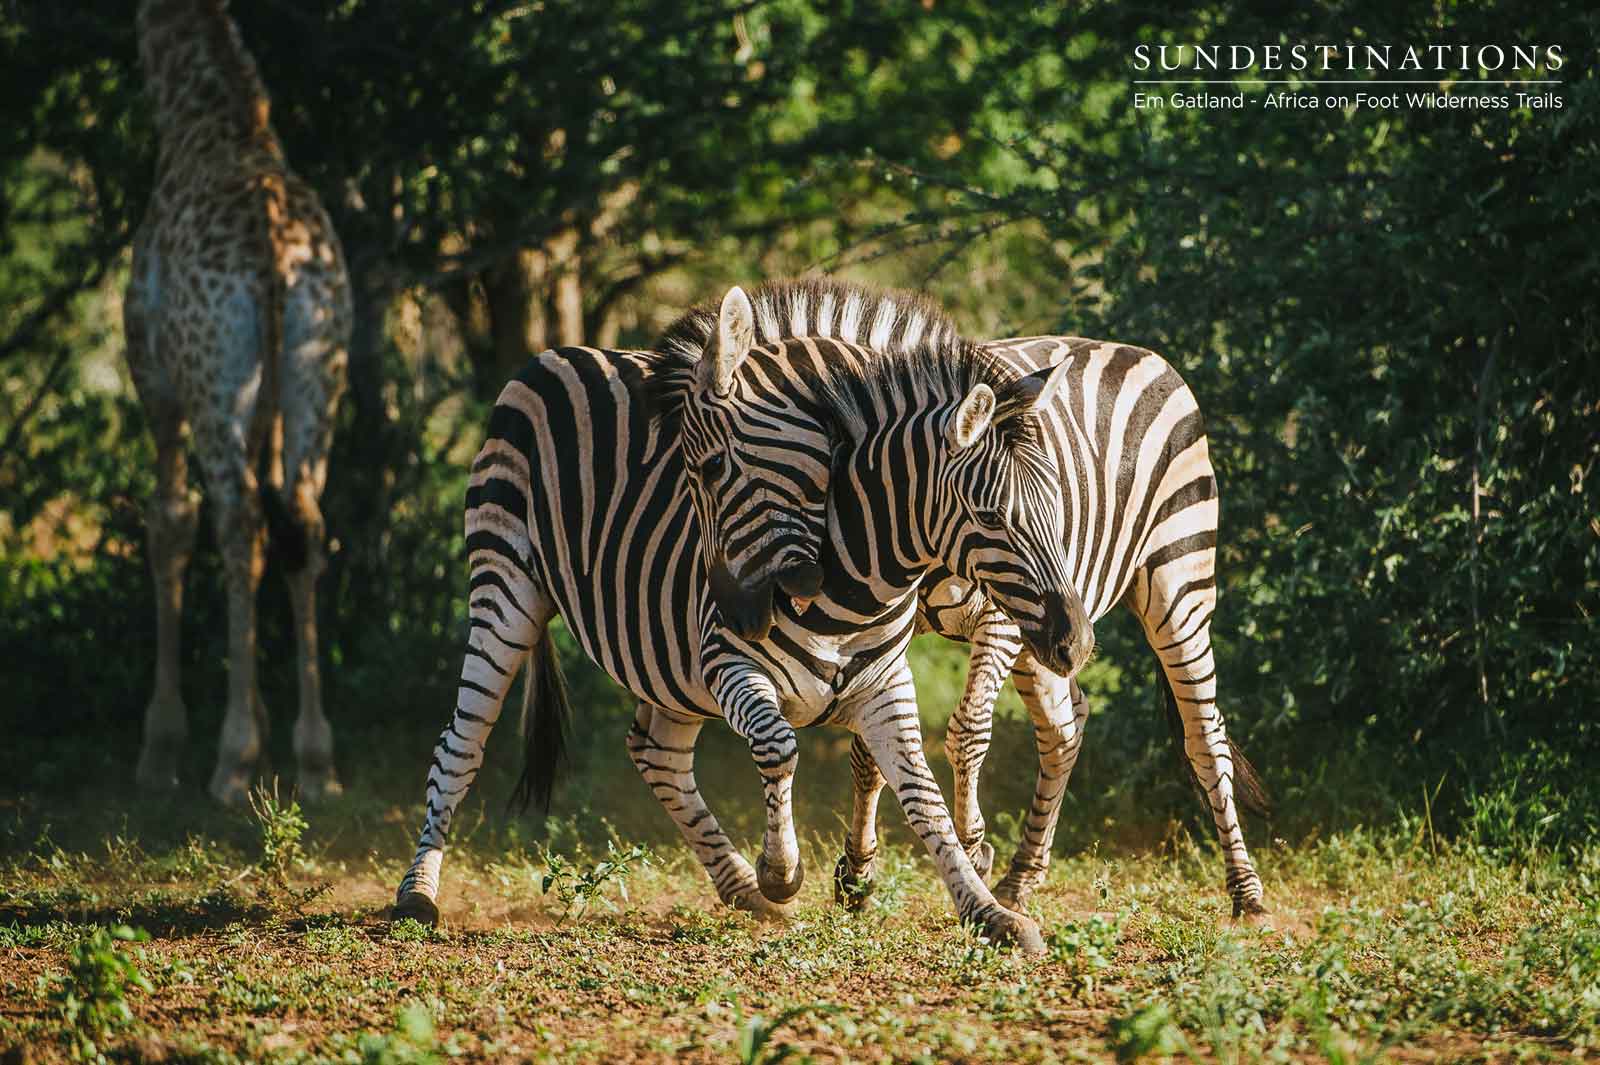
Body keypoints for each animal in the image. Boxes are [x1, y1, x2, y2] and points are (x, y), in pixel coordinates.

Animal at [126, 0, 350, 804]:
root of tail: (274, 252)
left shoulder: (159, 390)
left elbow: (170, 524)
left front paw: (162, 747)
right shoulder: (268, 411)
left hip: (212, 384)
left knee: (236, 516)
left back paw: (232, 758)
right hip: (320, 372)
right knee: (302, 519)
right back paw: (316, 760)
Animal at [391, 288, 1088, 951]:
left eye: (1059, 505)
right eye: (991, 517)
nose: (1075, 643)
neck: (855, 580)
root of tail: (552, 355)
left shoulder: (883, 686)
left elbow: (922, 796)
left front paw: (989, 911)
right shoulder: (729, 664)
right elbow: (779, 746)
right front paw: (782, 870)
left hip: (665, 659)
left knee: (658, 753)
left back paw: (742, 891)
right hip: (505, 589)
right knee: (461, 743)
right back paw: (416, 894)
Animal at [659, 278, 1271, 919]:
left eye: (708, 468)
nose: (737, 609)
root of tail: (1138, 352)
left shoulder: (995, 617)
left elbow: (967, 730)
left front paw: (972, 846)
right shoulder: (890, 632)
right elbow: (870, 752)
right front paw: (858, 870)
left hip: (1174, 586)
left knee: (1205, 735)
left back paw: (1246, 892)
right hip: (1047, 637)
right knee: (1065, 726)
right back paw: (1023, 877)